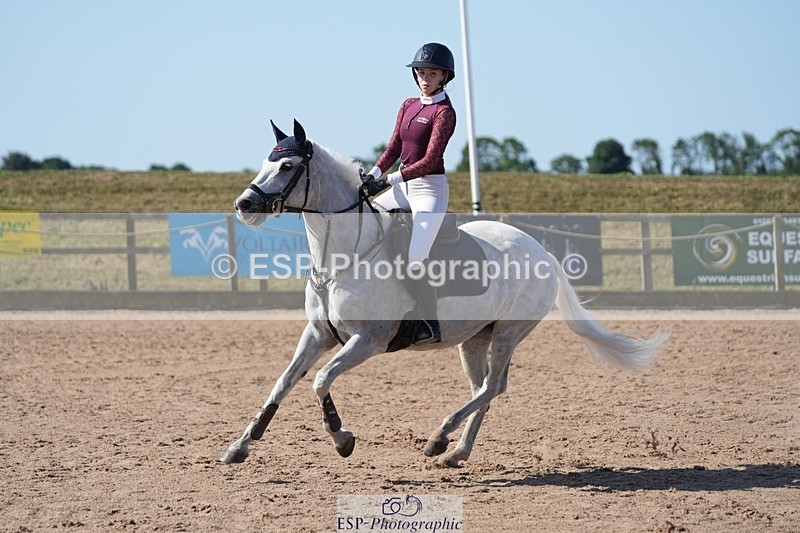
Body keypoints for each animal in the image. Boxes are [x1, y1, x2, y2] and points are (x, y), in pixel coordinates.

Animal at [219, 119, 669, 467]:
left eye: (288, 165)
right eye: (265, 162)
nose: (244, 204)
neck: (342, 257)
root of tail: (541, 250)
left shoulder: (368, 340)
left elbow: (320, 380)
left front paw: (342, 439)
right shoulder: (318, 334)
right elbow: (283, 382)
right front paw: (240, 446)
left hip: (509, 332)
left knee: (494, 386)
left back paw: (439, 438)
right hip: (474, 338)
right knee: (482, 389)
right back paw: (457, 452)